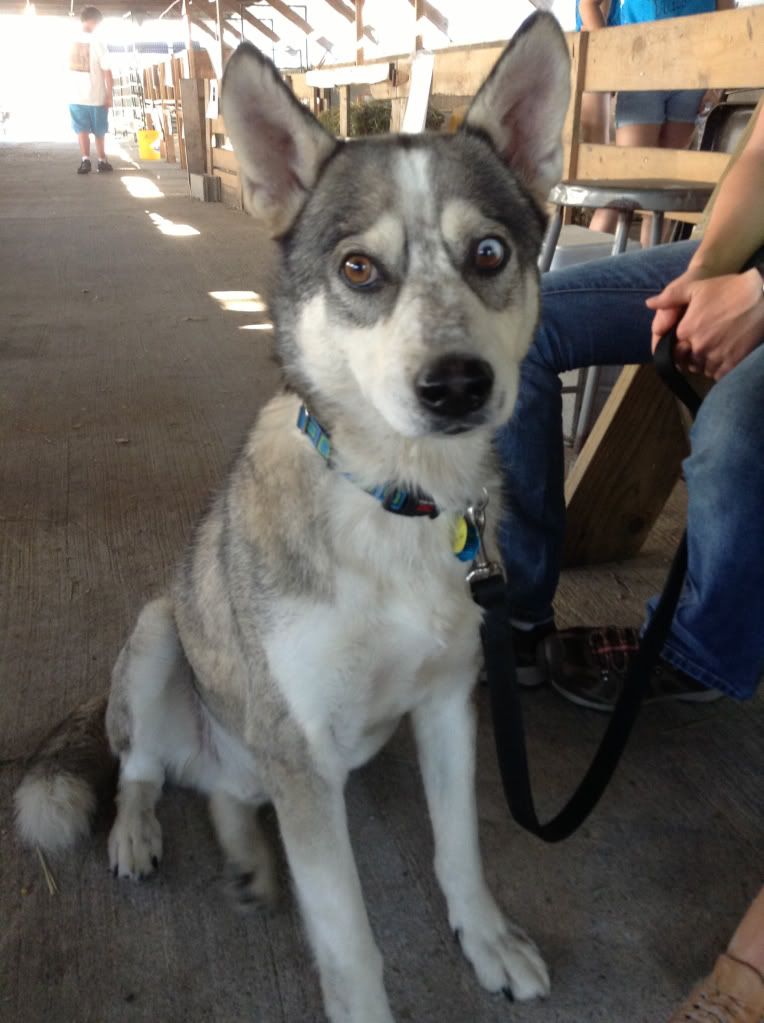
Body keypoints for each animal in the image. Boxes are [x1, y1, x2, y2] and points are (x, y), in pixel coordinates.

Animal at [14, 15, 572, 1023]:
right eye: (358, 267)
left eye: (489, 254)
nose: (457, 385)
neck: (396, 501)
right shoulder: (305, 761)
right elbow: (350, 943)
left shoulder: (445, 705)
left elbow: (460, 852)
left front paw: (488, 941)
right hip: (157, 634)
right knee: (143, 771)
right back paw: (137, 833)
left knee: (229, 795)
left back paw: (243, 855)